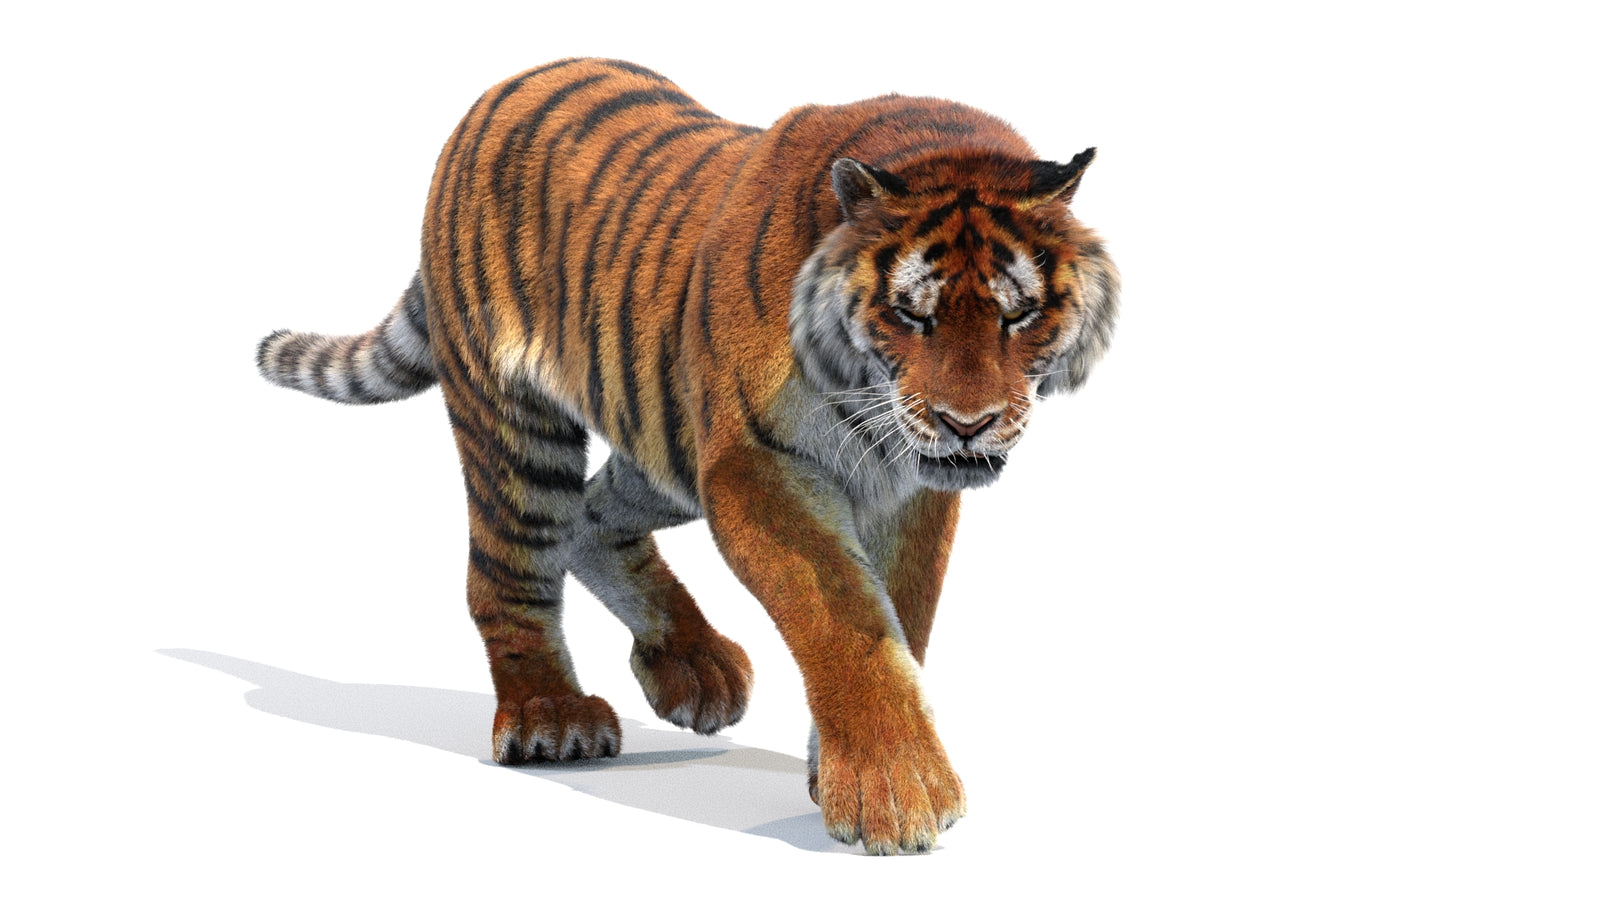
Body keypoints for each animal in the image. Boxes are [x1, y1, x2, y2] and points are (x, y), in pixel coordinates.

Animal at [256, 57, 1119, 855]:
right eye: (912, 314)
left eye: (1019, 315)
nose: (968, 424)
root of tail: (502, 88)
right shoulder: (753, 466)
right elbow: (844, 617)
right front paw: (895, 793)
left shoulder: (906, 490)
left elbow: (903, 614)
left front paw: (836, 769)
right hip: (517, 427)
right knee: (508, 567)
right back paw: (551, 716)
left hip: (663, 440)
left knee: (589, 520)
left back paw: (692, 667)